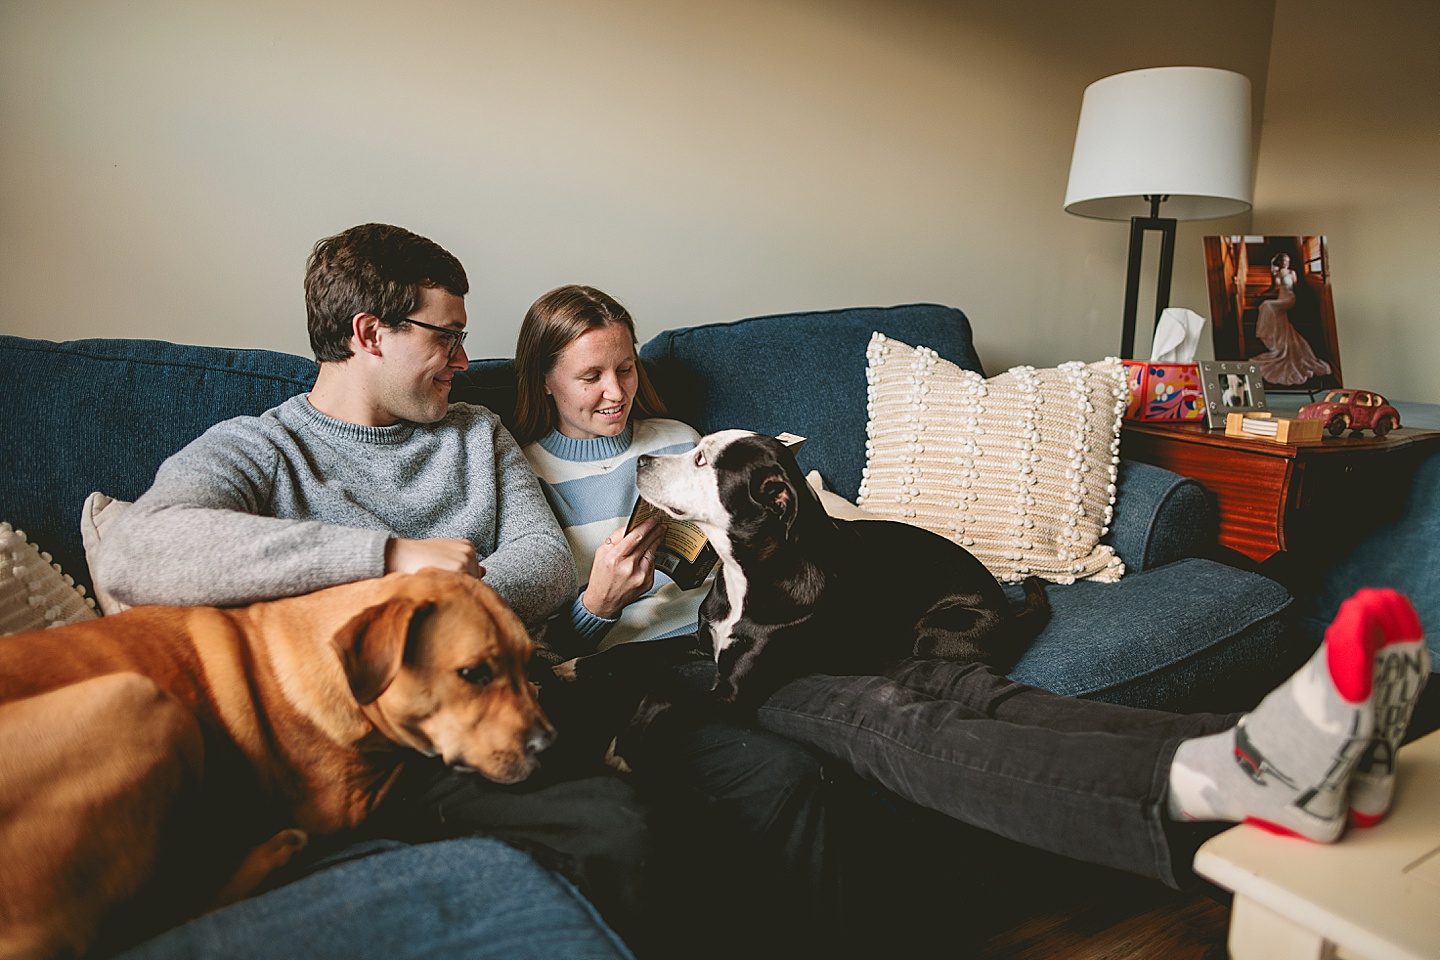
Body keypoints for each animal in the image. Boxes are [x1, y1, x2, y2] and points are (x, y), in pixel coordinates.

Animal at [0, 569, 552, 960]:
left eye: (527, 660)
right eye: (474, 674)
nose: (550, 744)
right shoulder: (347, 801)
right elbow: (411, 760)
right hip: (140, 702)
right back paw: (275, 851)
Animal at [633, 431, 1059, 711]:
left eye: (701, 460)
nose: (642, 460)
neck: (747, 574)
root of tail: (1010, 614)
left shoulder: (733, 692)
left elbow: (661, 697)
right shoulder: (702, 642)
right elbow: (635, 651)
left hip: (932, 633)